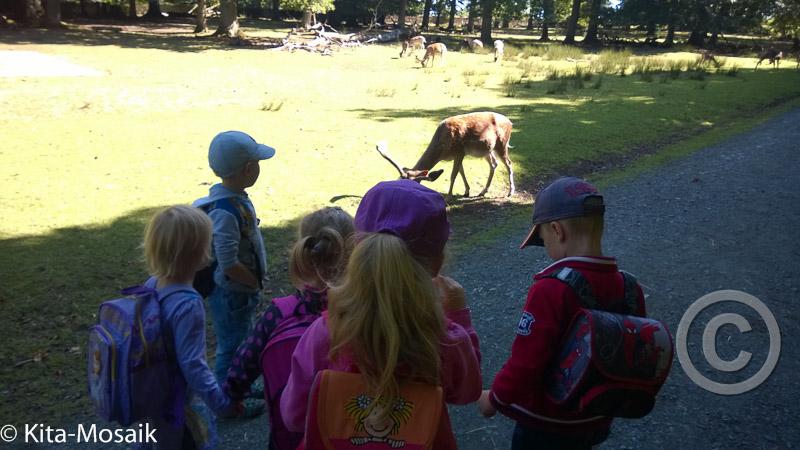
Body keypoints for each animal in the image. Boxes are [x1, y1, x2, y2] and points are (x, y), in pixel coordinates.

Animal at [376, 112, 515, 197]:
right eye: (397, 180)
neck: (442, 150)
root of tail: (510, 122)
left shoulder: (459, 152)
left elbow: (453, 175)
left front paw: (449, 195)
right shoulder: (457, 155)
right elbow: (461, 172)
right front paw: (466, 191)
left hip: (502, 144)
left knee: (508, 163)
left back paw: (510, 192)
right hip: (487, 149)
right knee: (494, 164)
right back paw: (483, 192)